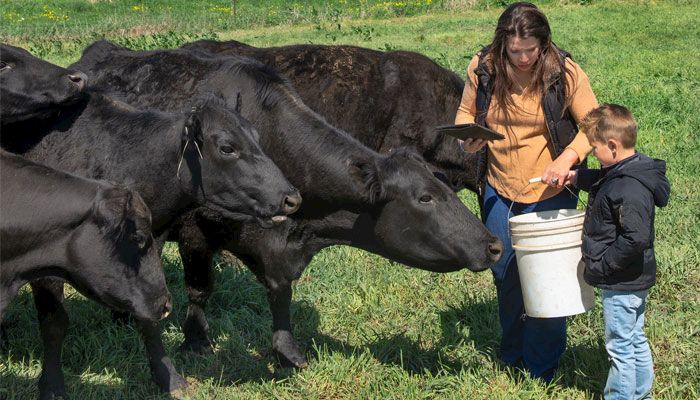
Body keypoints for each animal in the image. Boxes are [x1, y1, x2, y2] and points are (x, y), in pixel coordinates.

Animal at [0, 90, 300, 396]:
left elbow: (149, 316)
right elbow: (54, 323)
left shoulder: (148, 256)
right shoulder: (45, 264)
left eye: (257, 137)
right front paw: (52, 386)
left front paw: (168, 376)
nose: (291, 198)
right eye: (227, 147)